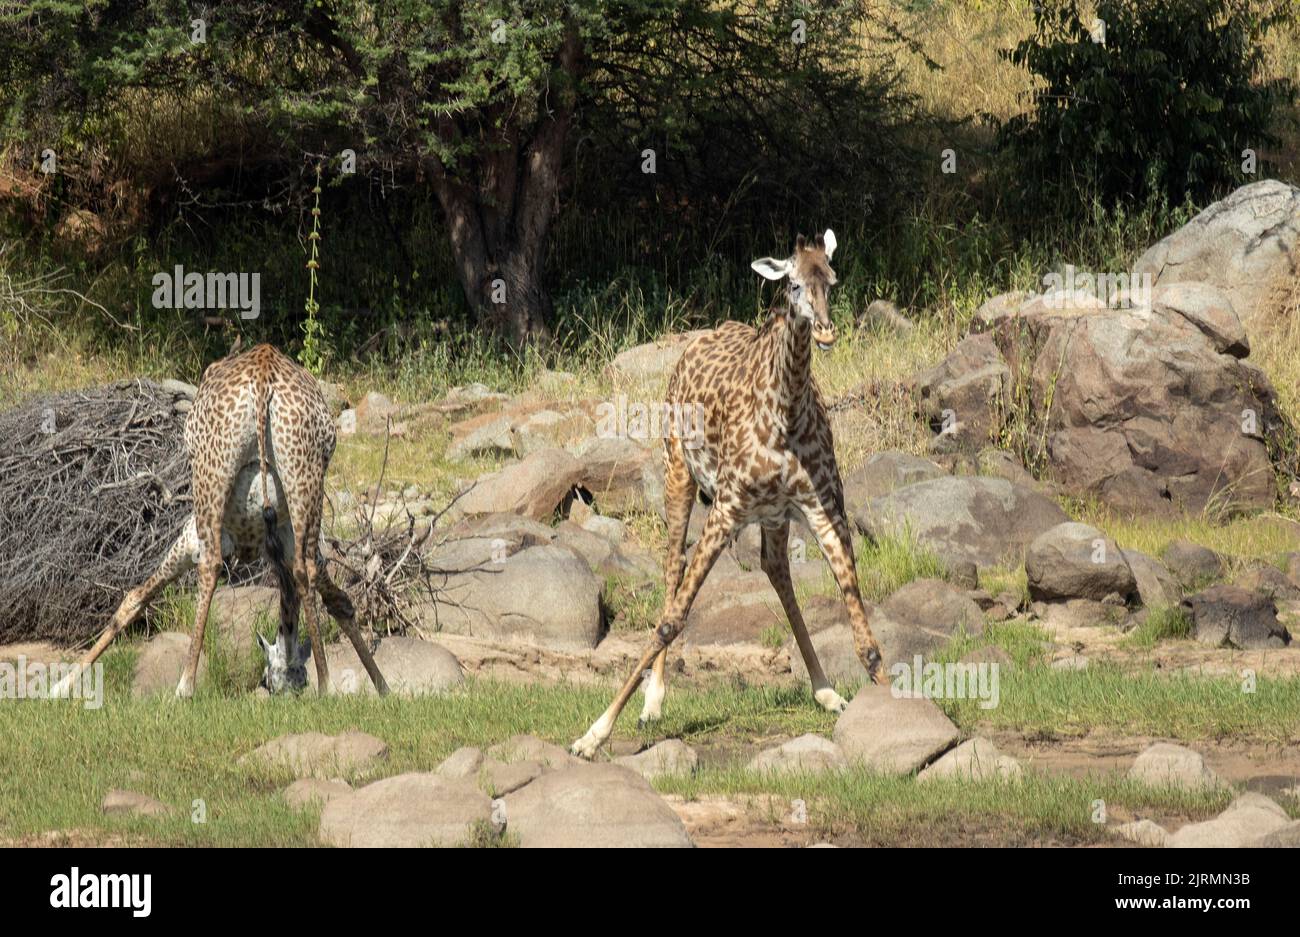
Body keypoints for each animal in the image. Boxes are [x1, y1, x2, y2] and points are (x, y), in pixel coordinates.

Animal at [53, 340, 384, 696]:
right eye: (273, 683)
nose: (288, 691)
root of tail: (263, 378)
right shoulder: (283, 538)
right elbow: (338, 599)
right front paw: (383, 687)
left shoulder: (194, 536)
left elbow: (135, 597)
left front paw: (60, 686)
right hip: (304, 476)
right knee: (304, 568)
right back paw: (325, 685)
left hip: (211, 476)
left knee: (209, 566)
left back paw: (185, 686)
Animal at [574, 230, 889, 758]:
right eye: (794, 285)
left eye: (832, 280)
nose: (826, 333)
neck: (786, 414)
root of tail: (697, 338)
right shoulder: (725, 507)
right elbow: (672, 620)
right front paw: (593, 734)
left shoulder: (824, 508)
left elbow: (864, 633)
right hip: (678, 472)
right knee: (673, 566)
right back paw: (653, 701)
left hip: (773, 515)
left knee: (775, 569)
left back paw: (825, 691)